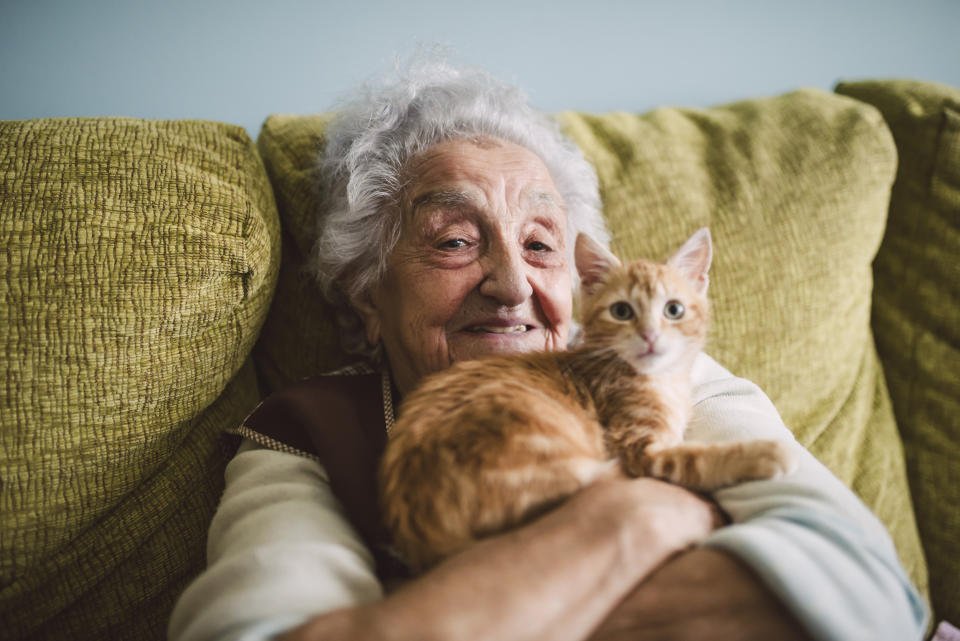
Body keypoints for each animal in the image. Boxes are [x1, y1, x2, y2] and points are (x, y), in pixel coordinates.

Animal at [378, 228, 800, 568]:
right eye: (622, 311)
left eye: (674, 310)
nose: (650, 336)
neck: (657, 380)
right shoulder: (639, 449)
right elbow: (695, 459)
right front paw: (765, 452)